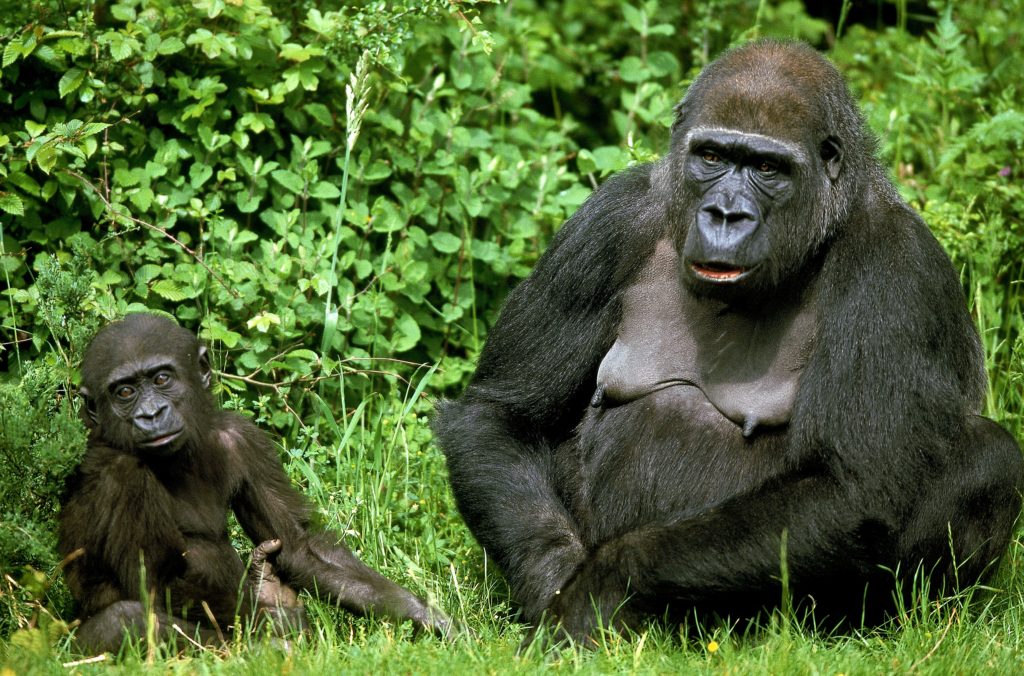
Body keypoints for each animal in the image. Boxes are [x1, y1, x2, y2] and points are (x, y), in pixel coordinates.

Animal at [434, 39, 1024, 643]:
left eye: (767, 168)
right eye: (713, 157)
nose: (725, 215)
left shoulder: (896, 265)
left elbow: (854, 487)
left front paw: (601, 586)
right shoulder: (607, 223)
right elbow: (503, 417)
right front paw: (554, 579)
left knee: (989, 455)